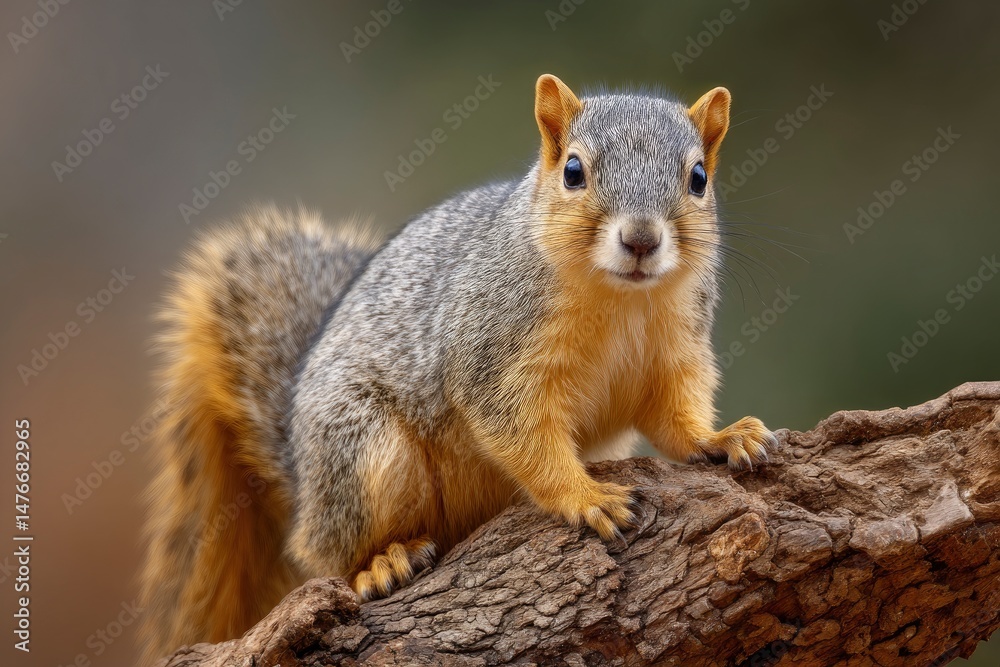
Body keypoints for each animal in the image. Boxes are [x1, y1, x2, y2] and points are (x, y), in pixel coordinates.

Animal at [138, 73, 777, 662]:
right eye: (573, 171)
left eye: (698, 178)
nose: (641, 240)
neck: (622, 298)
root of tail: (301, 474)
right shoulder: (491, 350)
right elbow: (518, 429)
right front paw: (585, 496)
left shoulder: (677, 351)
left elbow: (674, 417)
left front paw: (722, 438)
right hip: (366, 455)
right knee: (326, 555)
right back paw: (382, 562)